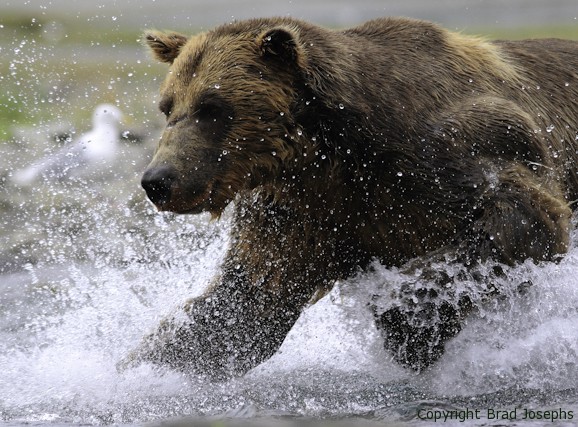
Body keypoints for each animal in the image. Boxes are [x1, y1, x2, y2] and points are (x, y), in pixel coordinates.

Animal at [126, 15, 576, 378]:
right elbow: (249, 297)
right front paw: (142, 366)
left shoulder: (459, 148)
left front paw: (406, 323)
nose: (158, 180)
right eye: (168, 107)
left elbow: (523, 219)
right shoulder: (305, 208)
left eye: (213, 107)